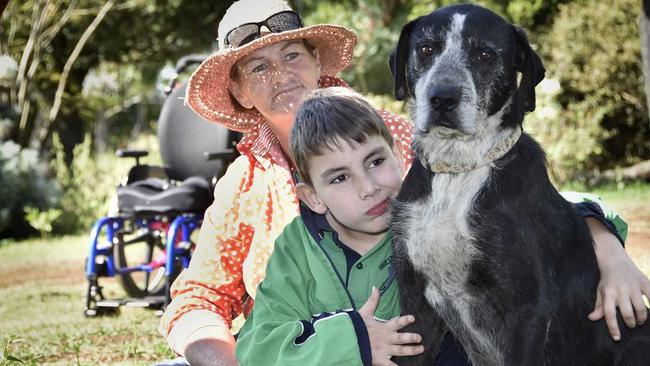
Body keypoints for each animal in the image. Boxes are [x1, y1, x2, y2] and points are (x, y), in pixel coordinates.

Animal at [388, 3, 648, 366]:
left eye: (485, 54)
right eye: (426, 50)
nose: (442, 98)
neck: (459, 169)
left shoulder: (527, 310)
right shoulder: (415, 304)